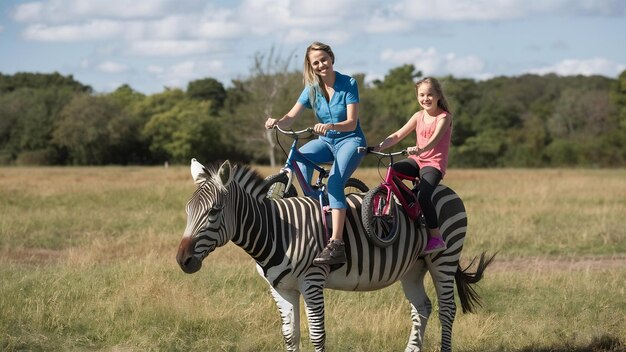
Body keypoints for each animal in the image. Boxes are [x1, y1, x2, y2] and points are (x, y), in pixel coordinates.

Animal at [174, 160, 492, 352]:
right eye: (187, 211)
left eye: (213, 212)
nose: (182, 260)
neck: (277, 231)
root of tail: (442, 188)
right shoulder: (280, 288)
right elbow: (291, 335)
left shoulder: (312, 281)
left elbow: (317, 333)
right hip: (413, 267)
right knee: (422, 307)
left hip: (444, 259)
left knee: (447, 309)